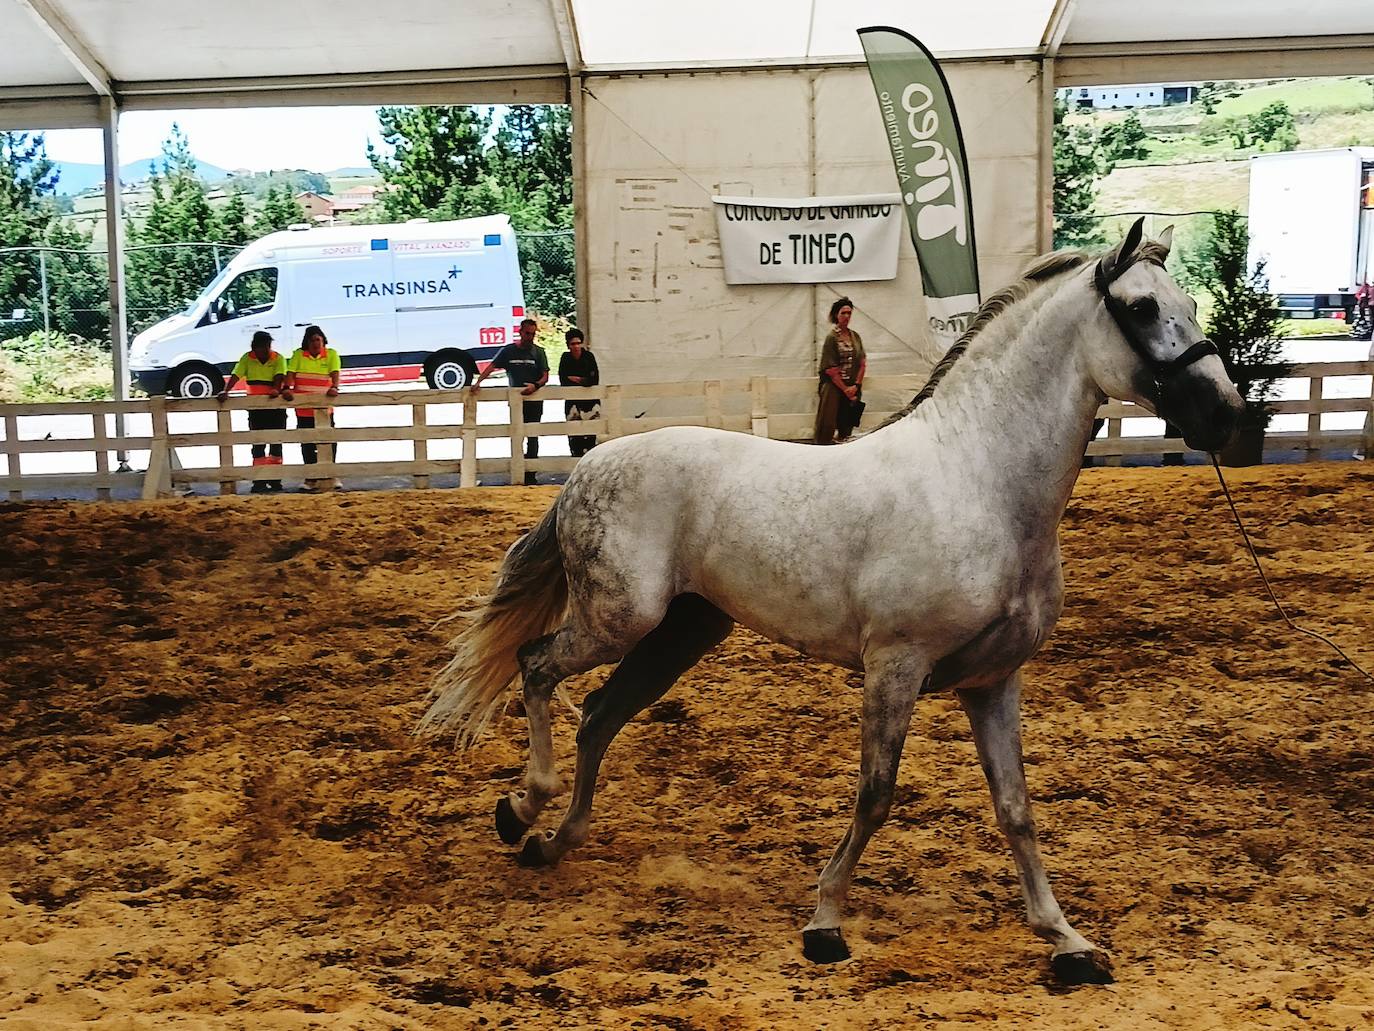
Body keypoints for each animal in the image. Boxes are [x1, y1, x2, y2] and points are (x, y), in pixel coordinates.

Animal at [420, 218, 1244, 984]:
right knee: (536, 666)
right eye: (1141, 308)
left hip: (682, 633)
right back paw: (522, 807)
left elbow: (1017, 808)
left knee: (598, 714)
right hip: (616, 621)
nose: (1230, 417)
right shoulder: (895, 667)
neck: (977, 480)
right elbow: (875, 793)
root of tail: (587, 470)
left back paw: (551, 841)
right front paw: (825, 922)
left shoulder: (993, 681)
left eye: (1187, 302)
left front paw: (1066, 939)